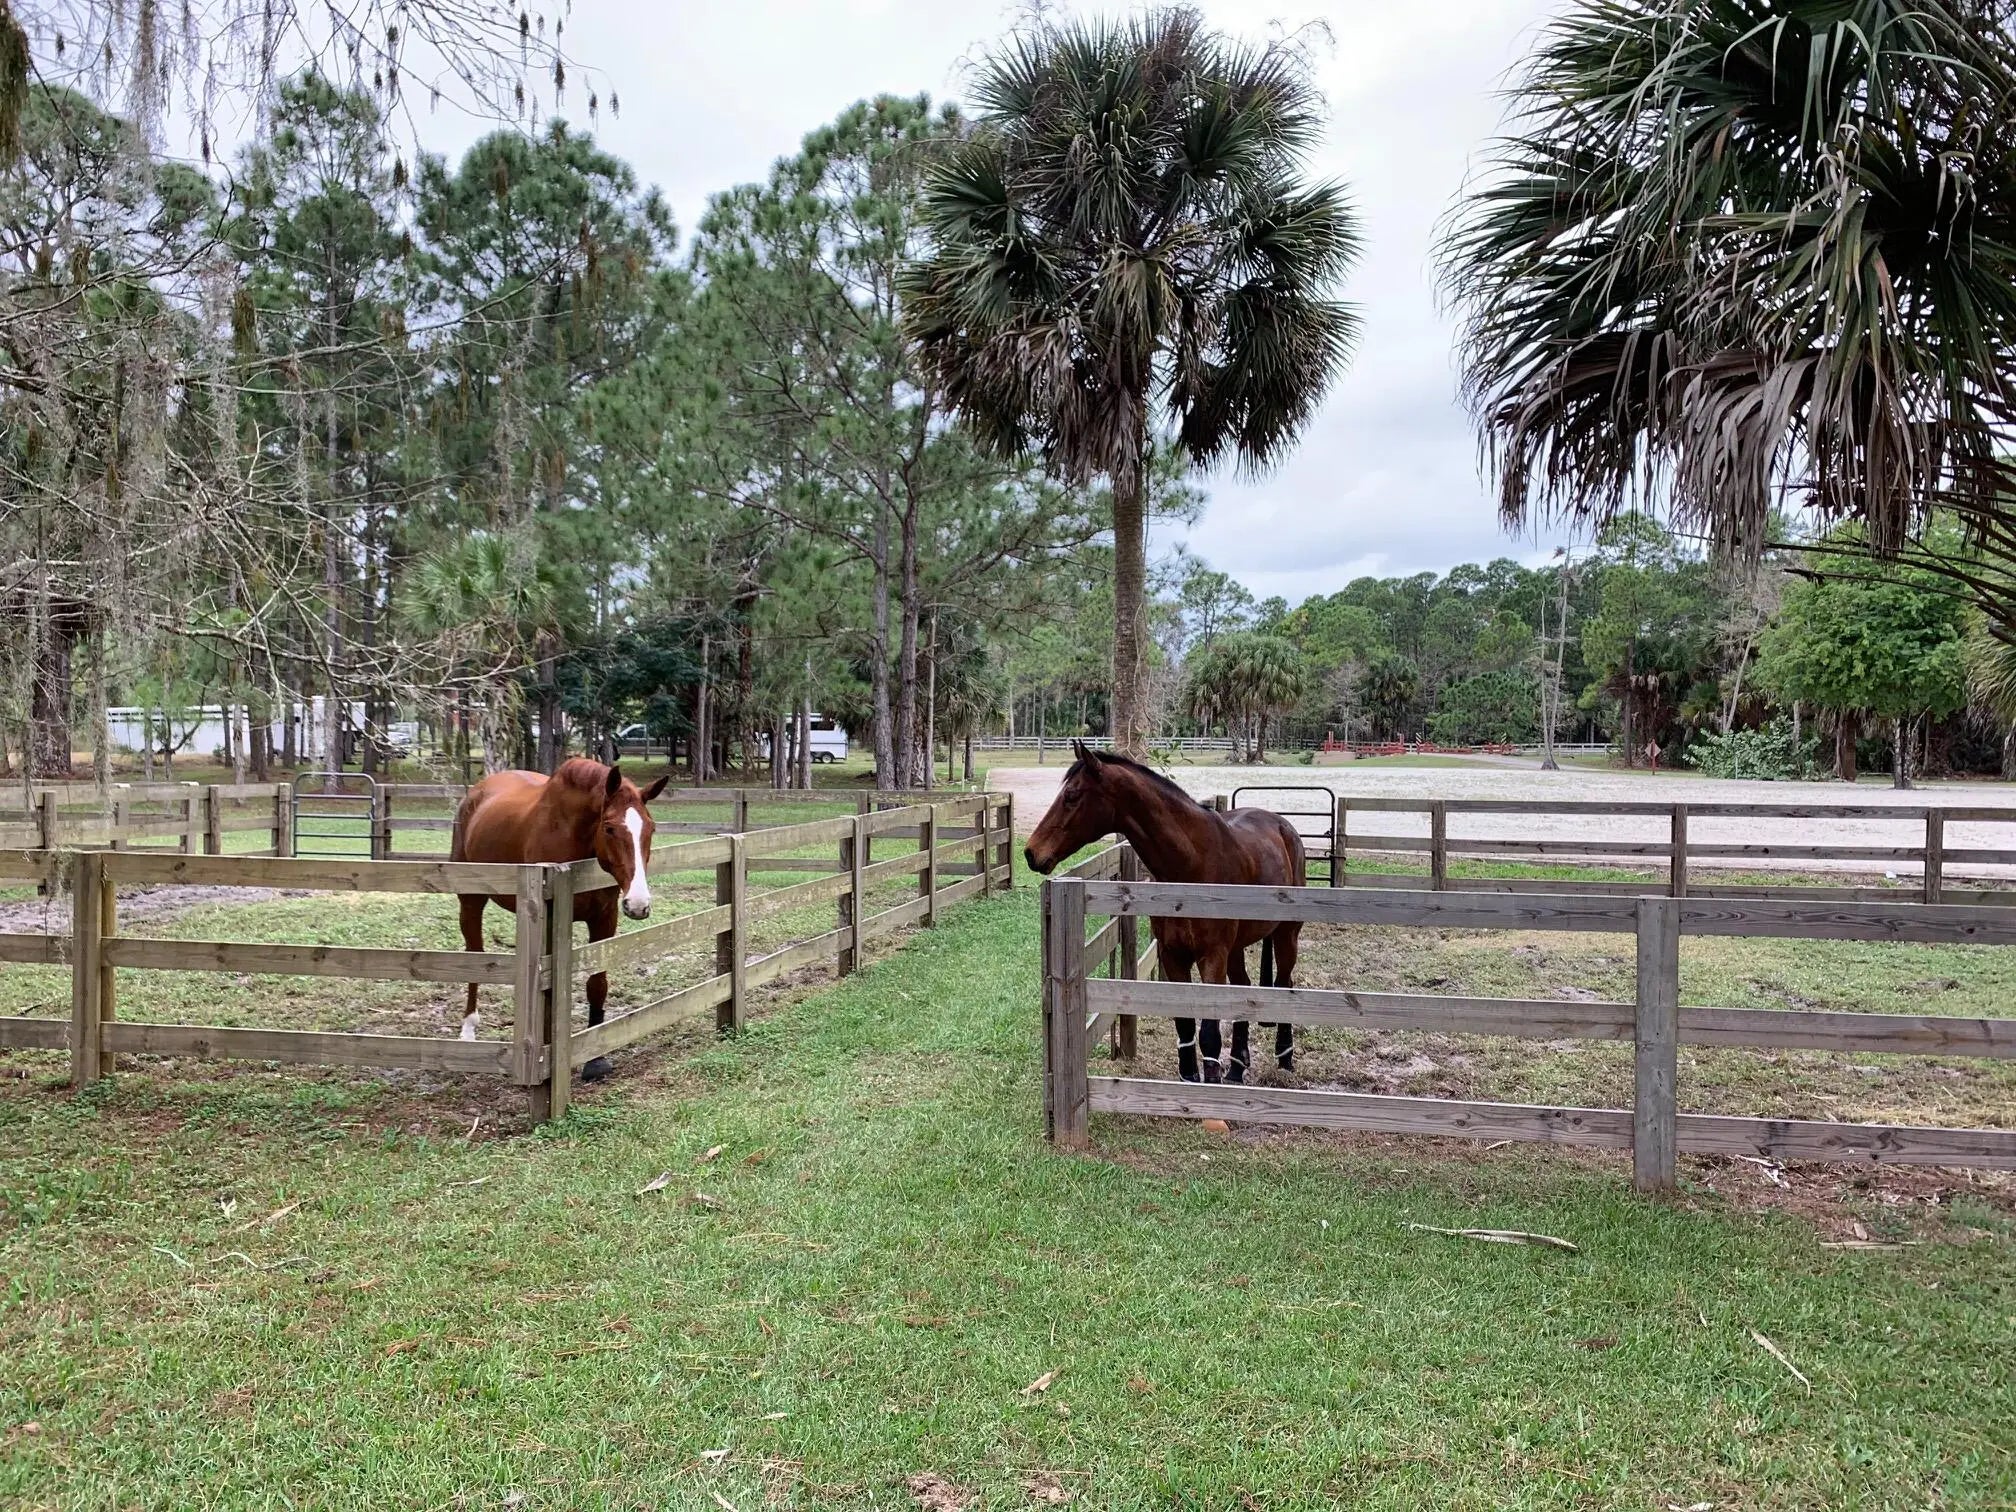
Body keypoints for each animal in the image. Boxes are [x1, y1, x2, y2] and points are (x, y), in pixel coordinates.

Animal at [451, 758, 669, 1082]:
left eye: (651, 828)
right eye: (609, 828)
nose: (639, 904)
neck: (574, 836)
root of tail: (476, 792)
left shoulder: (605, 917)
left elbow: (597, 985)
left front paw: (596, 1059)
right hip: (470, 899)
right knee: (474, 955)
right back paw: (468, 1030)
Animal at [1023, 741, 1304, 1084]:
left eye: (1072, 796)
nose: (1031, 852)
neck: (1192, 866)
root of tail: (1282, 825)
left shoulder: (1212, 956)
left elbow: (1209, 1033)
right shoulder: (1173, 956)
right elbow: (1184, 1024)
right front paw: (1191, 1077)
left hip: (1285, 935)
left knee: (1285, 983)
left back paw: (1285, 1058)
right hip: (1237, 949)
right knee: (1244, 990)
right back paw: (1238, 1069)